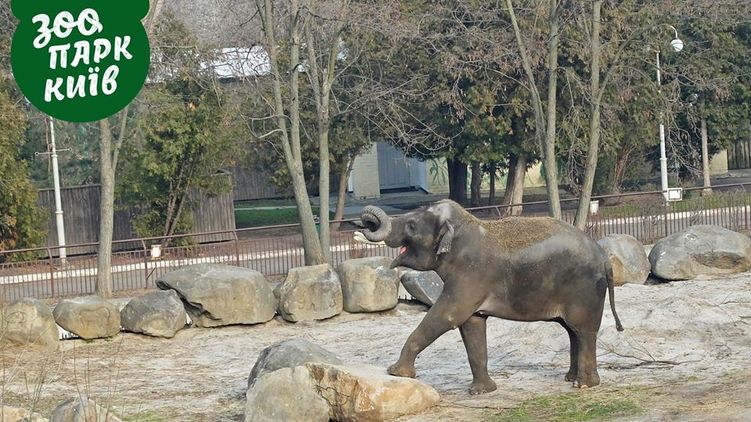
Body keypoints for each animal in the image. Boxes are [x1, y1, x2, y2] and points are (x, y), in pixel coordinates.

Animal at [358, 199, 623, 393]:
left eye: (412, 226)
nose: (366, 222)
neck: (464, 224)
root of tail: (603, 257)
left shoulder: (471, 274)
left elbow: (447, 316)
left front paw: (396, 372)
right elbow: (472, 325)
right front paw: (481, 391)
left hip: (584, 290)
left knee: (583, 330)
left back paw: (583, 385)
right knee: (571, 331)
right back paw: (570, 378)